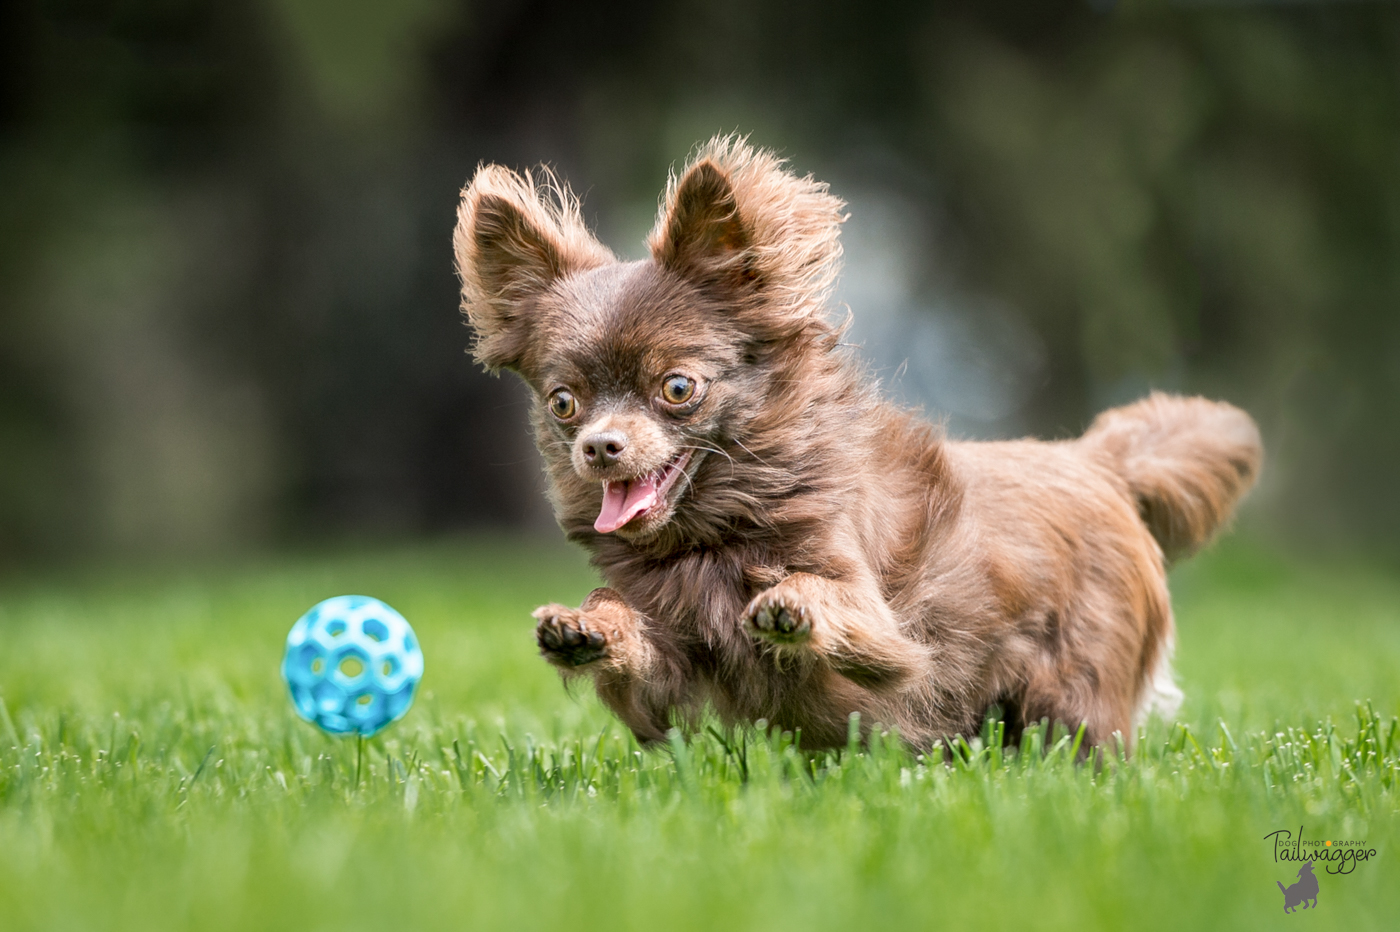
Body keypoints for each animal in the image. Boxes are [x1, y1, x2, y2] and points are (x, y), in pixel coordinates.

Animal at [453, 136, 1265, 750]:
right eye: (565, 403)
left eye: (677, 388)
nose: (599, 447)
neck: (713, 540)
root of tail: (1094, 460)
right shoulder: (668, 676)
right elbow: (636, 643)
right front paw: (585, 624)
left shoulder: (888, 639)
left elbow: (827, 600)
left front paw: (789, 604)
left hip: (1076, 694)